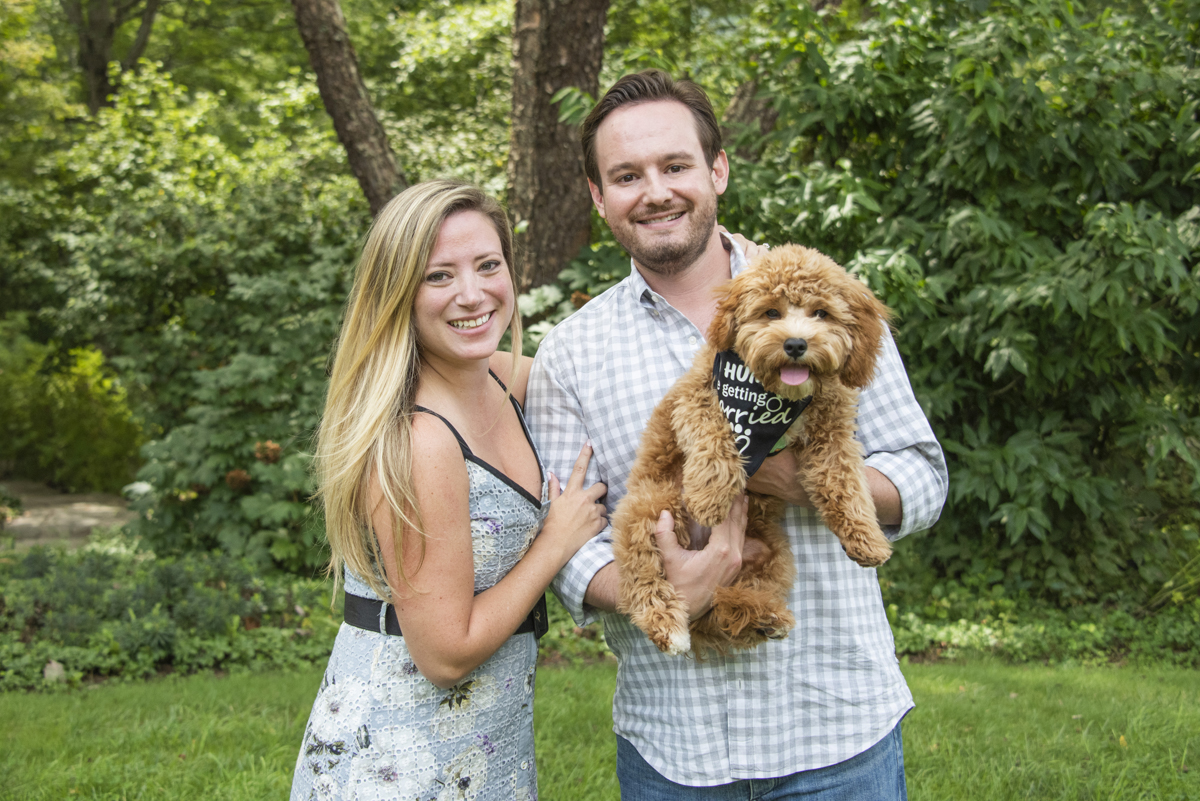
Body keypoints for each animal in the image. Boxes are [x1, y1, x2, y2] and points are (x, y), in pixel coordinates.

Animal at [614, 244, 897, 657]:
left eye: (822, 313)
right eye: (771, 312)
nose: (795, 344)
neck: (775, 396)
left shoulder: (833, 435)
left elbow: (843, 483)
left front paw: (867, 538)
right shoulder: (697, 398)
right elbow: (715, 442)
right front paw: (710, 498)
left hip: (770, 554)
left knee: (726, 602)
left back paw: (762, 616)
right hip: (651, 507)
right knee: (642, 577)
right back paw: (667, 624)